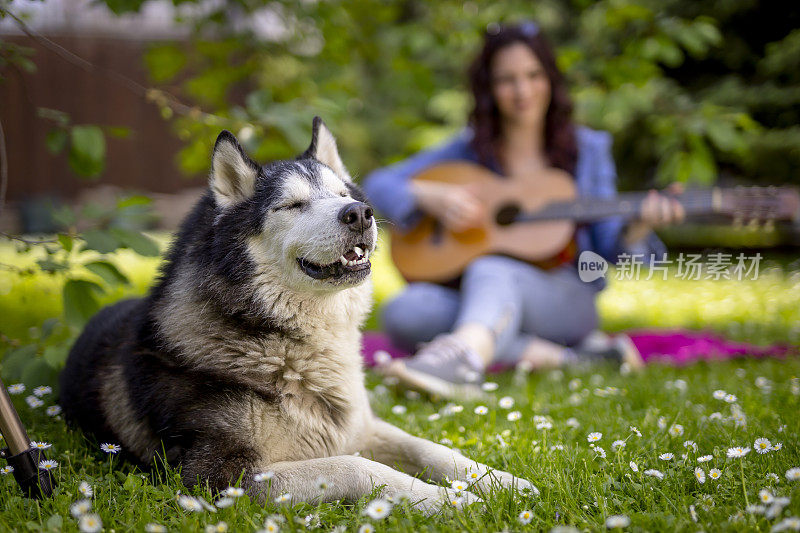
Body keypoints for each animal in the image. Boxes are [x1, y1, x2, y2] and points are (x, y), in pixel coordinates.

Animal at [61, 117, 532, 512]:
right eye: (291, 205)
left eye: (343, 196)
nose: (360, 214)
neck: (291, 346)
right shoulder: (217, 479)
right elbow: (355, 466)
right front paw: (450, 500)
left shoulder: (361, 428)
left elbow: (430, 447)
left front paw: (500, 482)